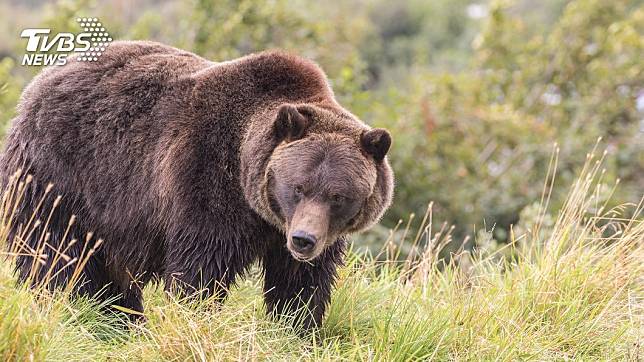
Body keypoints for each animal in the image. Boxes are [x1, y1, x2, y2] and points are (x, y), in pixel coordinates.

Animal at [0, 39, 394, 328]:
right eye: (297, 187)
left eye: (338, 196)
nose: (303, 239)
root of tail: (36, 87)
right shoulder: (205, 182)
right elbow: (201, 268)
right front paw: (195, 318)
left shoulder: (312, 234)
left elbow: (301, 283)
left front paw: (297, 328)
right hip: (61, 179)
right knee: (54, 254)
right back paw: (70, 308)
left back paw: (122, 321)